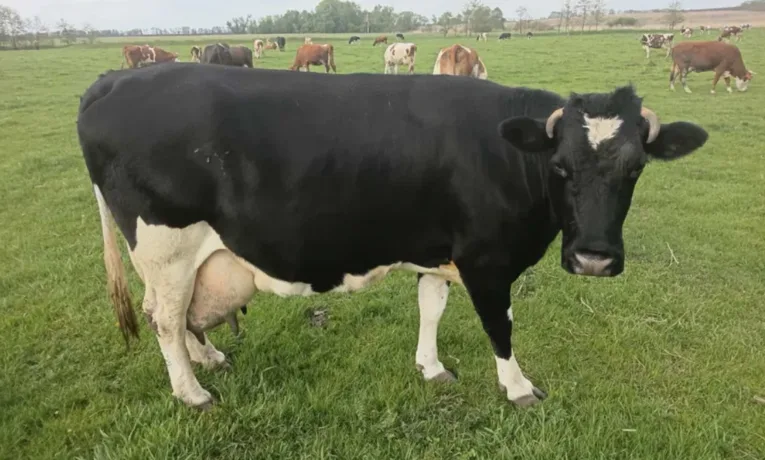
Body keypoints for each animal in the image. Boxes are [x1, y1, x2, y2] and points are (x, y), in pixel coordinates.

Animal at [77, 63, 709, 410]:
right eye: (560, 167)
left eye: (636, 168)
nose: (594, 259)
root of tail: (113, 79)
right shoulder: (486, 260)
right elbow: (499, 326)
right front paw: (518, 387)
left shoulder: (438, 251)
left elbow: (431, 307)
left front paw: (431, 367)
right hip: (167, 246)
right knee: (164, 316)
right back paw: (193, 394)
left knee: (181, 315)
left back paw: (207, 359)